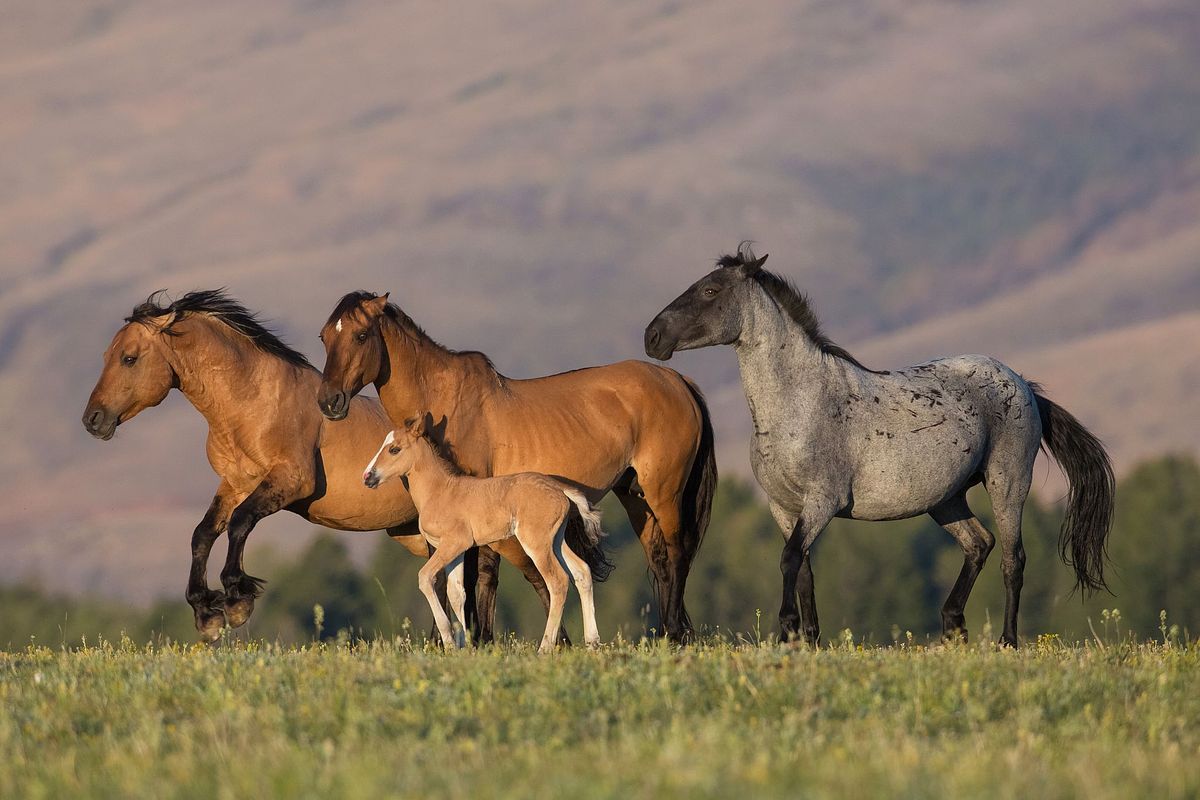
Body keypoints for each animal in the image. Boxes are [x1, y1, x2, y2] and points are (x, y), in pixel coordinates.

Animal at [84, 291, 561, 642]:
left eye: (129, 358)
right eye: (107, 354)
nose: (93, 419)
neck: (253, 402)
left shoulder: (289, 481)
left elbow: (239, 524)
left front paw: (236, 599)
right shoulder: (234, 483)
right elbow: (203, 534)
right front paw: (207, 612)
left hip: (508, 538)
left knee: (537, 577)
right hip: (423, 536)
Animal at [360, 417, 604, 652]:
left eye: (394, 449)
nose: (367, 476)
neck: (440, 491)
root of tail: (560, 489)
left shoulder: (453, 543)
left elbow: (425, 577)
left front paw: (449, 641)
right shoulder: (457, 550)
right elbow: (457, 593)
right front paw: (463, 647)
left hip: (537, 543)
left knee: (558, 581)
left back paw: (545, 648)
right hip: (555, 541)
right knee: (582, 572)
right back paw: (592, 643)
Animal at [648, 241, 1113, 647]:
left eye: (710, 290)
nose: (652, 336)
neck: (800, 403)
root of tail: (1025, 385)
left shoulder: (822, 502)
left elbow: (789, 559)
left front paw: (788, 632)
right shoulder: (783, 506)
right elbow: (802, 567)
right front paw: (809, 639)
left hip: (1008, 483)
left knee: (1013, 559)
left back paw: (1006, 642)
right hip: (946, 499)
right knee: (978, 543)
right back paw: (952, 628)